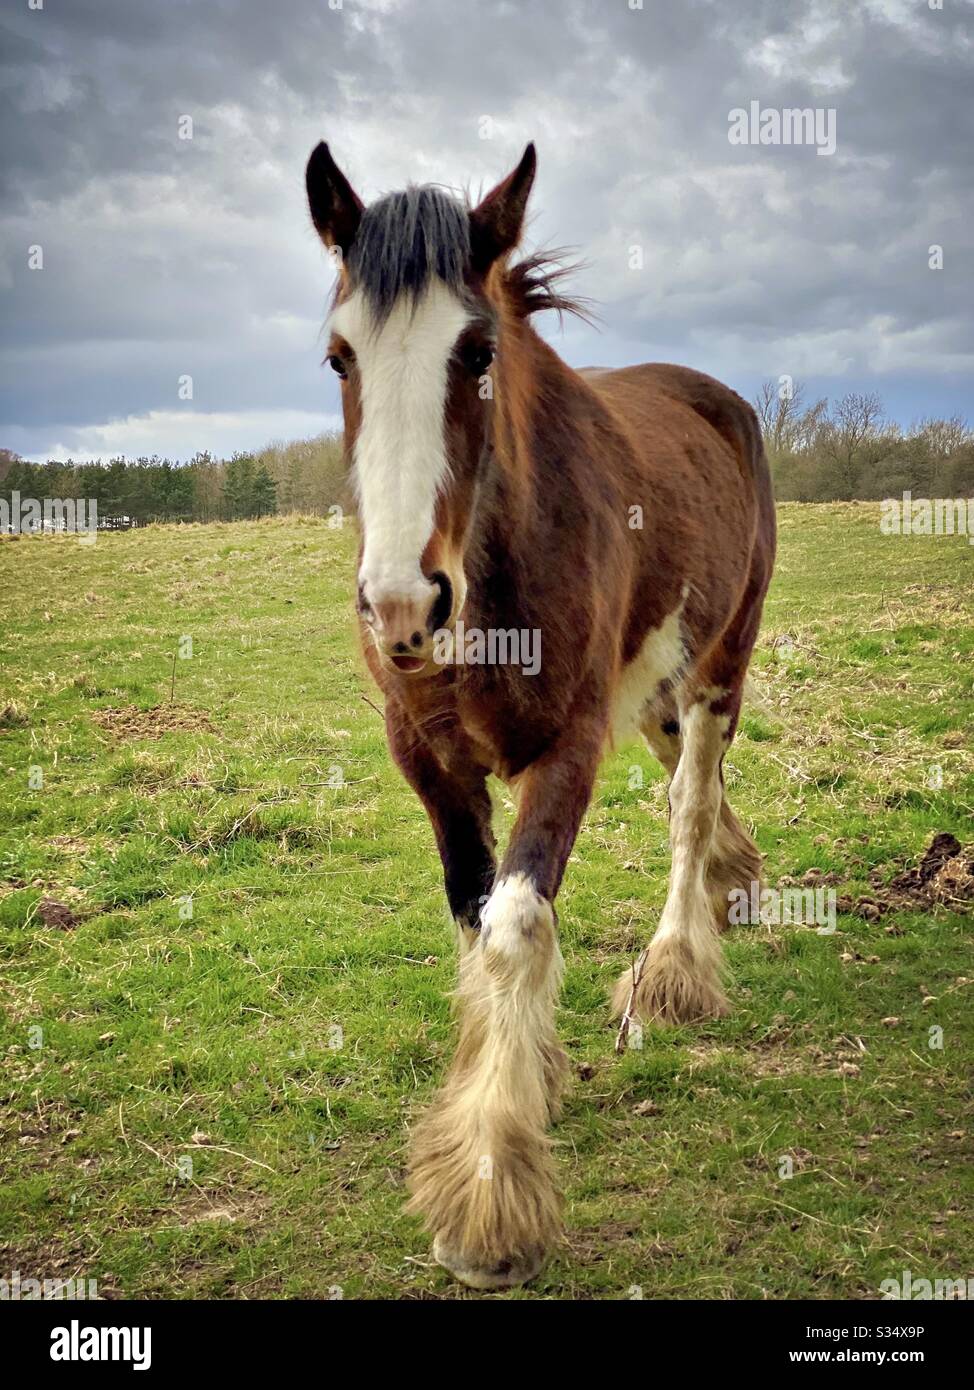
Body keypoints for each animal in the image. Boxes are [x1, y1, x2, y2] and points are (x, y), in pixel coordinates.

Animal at [305, 140, 776, 1290]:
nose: (402, 604)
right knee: (690, 788)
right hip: (653, 682)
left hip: (718, 663)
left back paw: (675, 968)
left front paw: (487, 1201)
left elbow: (516, 930)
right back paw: (733, 879)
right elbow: (472, 923)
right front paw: (514, 1086)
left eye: (477, 350)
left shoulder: (567, 747)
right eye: (340, 358)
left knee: (690, 803)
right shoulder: (428, 762)